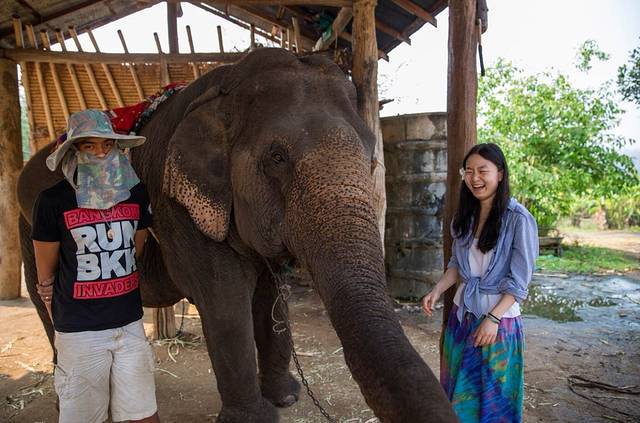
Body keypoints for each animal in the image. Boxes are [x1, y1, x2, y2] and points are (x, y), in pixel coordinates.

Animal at [17, 48, 457, 422]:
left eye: (372, 160)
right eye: (276, 158)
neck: (226, 88)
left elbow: (270, 297)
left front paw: (286, 397)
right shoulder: (177, 206)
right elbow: (225, 299)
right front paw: (255, 417)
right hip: (29, 228)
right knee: (49, 309)